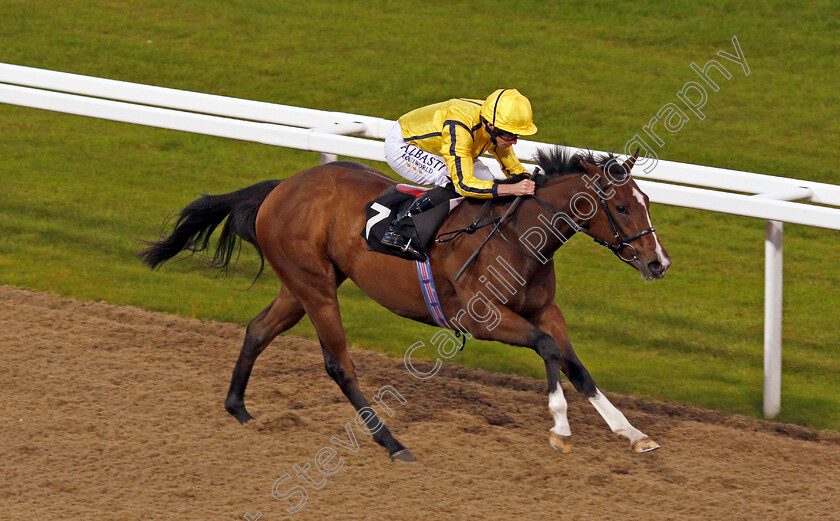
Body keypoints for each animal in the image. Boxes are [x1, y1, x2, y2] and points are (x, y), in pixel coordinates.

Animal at [141, 145, 672, 460]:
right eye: (621, 206)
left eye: (646, 201)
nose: (659, 263)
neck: (520, 234)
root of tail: (282, 187)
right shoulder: (482, 318)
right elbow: (546, 348)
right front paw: (560, 427)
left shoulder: (544, 309)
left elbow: (575, 363)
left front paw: (632, 433)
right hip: (316, 288)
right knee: (339, 364)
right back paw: (391, 442)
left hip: (300, 284)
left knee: (257, 329)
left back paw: (239, 408)